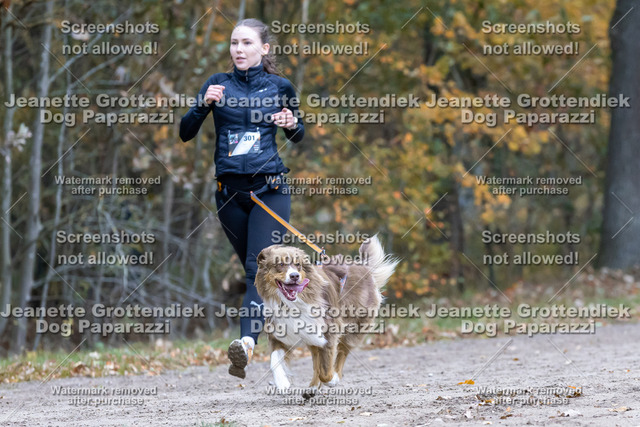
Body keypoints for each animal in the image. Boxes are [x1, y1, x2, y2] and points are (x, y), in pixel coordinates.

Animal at [255, 235, 399, 392]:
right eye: (280, 264)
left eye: (298, 265)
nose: (294, 276)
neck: (292, 303)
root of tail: (363, 266)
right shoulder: (281, 331)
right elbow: (274, 360)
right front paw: (282, 382)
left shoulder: (329, 329)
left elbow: (325, 369)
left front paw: (331, 380)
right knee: (317, 358)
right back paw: (312, 387)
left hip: (356, 324)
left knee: (342, 352)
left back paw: (334, 376)